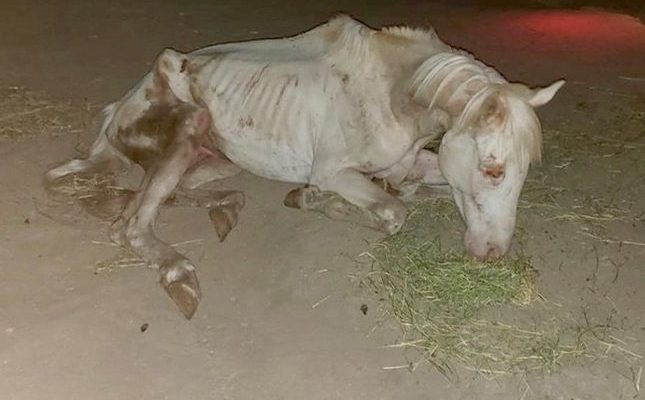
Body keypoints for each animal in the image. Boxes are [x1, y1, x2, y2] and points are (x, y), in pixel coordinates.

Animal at [44, 15, 564, 318]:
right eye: (494, 169)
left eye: (523, 172)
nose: (492, 254)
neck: (392, 92)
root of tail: (118, 108)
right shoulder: (335, 172)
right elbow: (393, 212)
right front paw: (312, 199)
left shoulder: (410, 163)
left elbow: (411, 190)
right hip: (189, 127)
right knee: (131, 226)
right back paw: (179, 274)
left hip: (216, 161)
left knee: (157, 199)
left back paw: (225, 208)